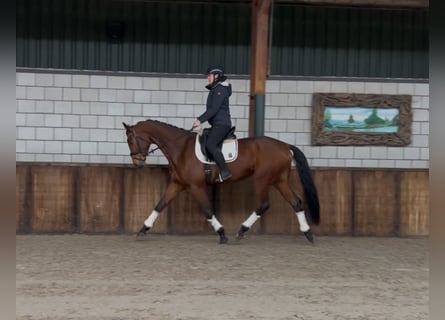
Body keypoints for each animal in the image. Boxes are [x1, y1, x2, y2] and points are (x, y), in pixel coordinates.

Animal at [122, 119, 320, 242]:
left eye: (131, 140)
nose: (137, 162)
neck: (181, 148)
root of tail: (285, 146)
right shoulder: (177, 184)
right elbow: (160, 205)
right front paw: (143, 229)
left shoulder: (196, 186)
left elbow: (207, 210)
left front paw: (222, 233)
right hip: (280, 180)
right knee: (296, 202)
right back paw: (308, 233)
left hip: (263, 179)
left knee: (263, 204)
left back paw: (241, 230)